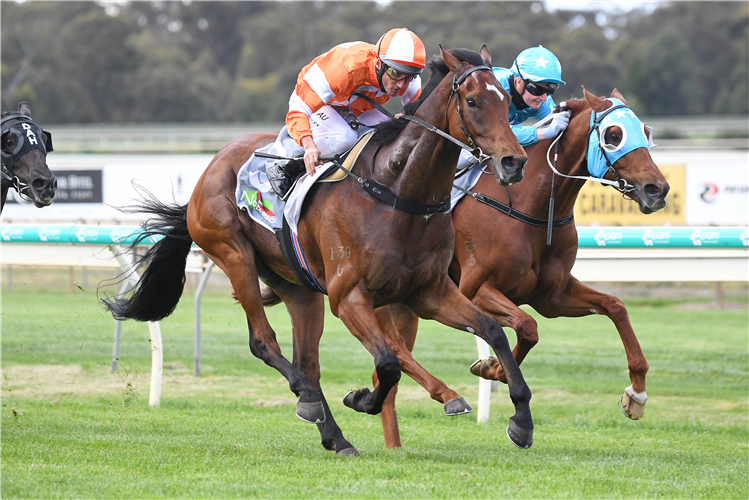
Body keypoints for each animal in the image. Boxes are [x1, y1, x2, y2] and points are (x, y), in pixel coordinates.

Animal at [105, 47, 532, 458]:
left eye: (506, 98)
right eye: (473, 101)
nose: (514, 161)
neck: (398, 193)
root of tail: (210, 166)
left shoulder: (429, 292)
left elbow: (492, 330)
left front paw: (521, 421)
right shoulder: (349, 297)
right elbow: (388, 363)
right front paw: (361, 398)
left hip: (299, 287)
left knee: (308, 361)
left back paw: (335, 436)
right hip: (233, 253)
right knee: (265, 343)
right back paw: (308, 398)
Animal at [376, 88, 668, 448]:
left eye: (646, 131)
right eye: (614, 136)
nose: (658, 189)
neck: (534, 207)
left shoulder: (552, 296)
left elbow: (616, 307)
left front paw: (636, 395)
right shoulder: (475, 289)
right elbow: (527, 326)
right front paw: (493, 370)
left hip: (407, 304)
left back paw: (393, 440)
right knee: (393, 350)